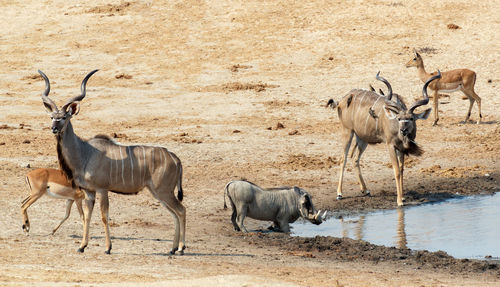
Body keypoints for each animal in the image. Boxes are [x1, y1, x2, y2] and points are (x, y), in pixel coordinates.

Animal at [37, 71, 186, 255]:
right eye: (52, 117)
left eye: (64, 117)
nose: (54, 128)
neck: (85, 153)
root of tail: (176, 159)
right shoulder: (89, 192)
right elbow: (87, 216)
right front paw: (82, 246)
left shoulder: (102, 189)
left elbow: (103, 216)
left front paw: (108, 248)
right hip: (158, 193)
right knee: (174, 214)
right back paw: (172, 249)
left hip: (164, 191)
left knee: (181, 210)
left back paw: (181, 248)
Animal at [326, 72, 440, 207]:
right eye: (399, 118)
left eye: (411, 118)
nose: (403, 130)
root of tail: (341, 100)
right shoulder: (390, 145)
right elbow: (396, 170)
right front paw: (399, 201)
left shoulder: (401, 149)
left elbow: (402, 169)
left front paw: (403, 197)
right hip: (347, 131)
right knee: (343, 159)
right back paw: (339, 193)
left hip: (362, 138)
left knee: (355, 159)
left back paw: (365, 190)